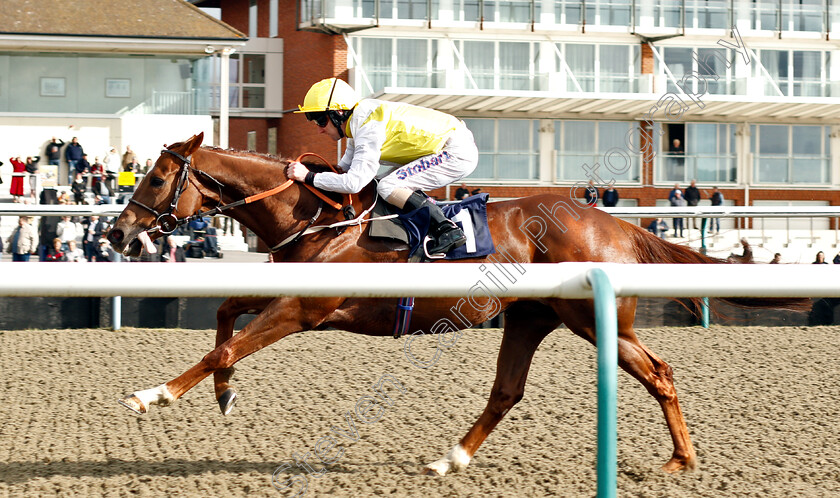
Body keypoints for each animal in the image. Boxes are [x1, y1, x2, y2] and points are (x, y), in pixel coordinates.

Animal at [108, 134, 804, 476]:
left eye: (156, 178)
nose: (116, 233)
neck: (317, 218)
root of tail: (611, 221)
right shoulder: (292, 293)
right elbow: (225, 313)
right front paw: (225, 393)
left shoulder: (306, 307)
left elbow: (225, 341)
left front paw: (152, 395)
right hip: (530, 317)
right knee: (508, 391)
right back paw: (453, 457)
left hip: (587, 317)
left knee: (657, 373)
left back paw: (680, 460)